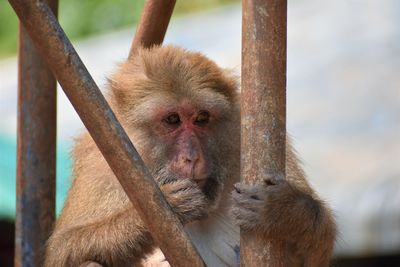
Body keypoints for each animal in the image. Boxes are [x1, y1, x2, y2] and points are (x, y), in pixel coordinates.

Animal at [45, 45, 336, 266]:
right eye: (172, 119)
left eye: (201, 118)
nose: (192, 157)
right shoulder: (100, 162)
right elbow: (60, 250)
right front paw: (167, 206)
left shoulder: (242, 135)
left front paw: (284, 210)